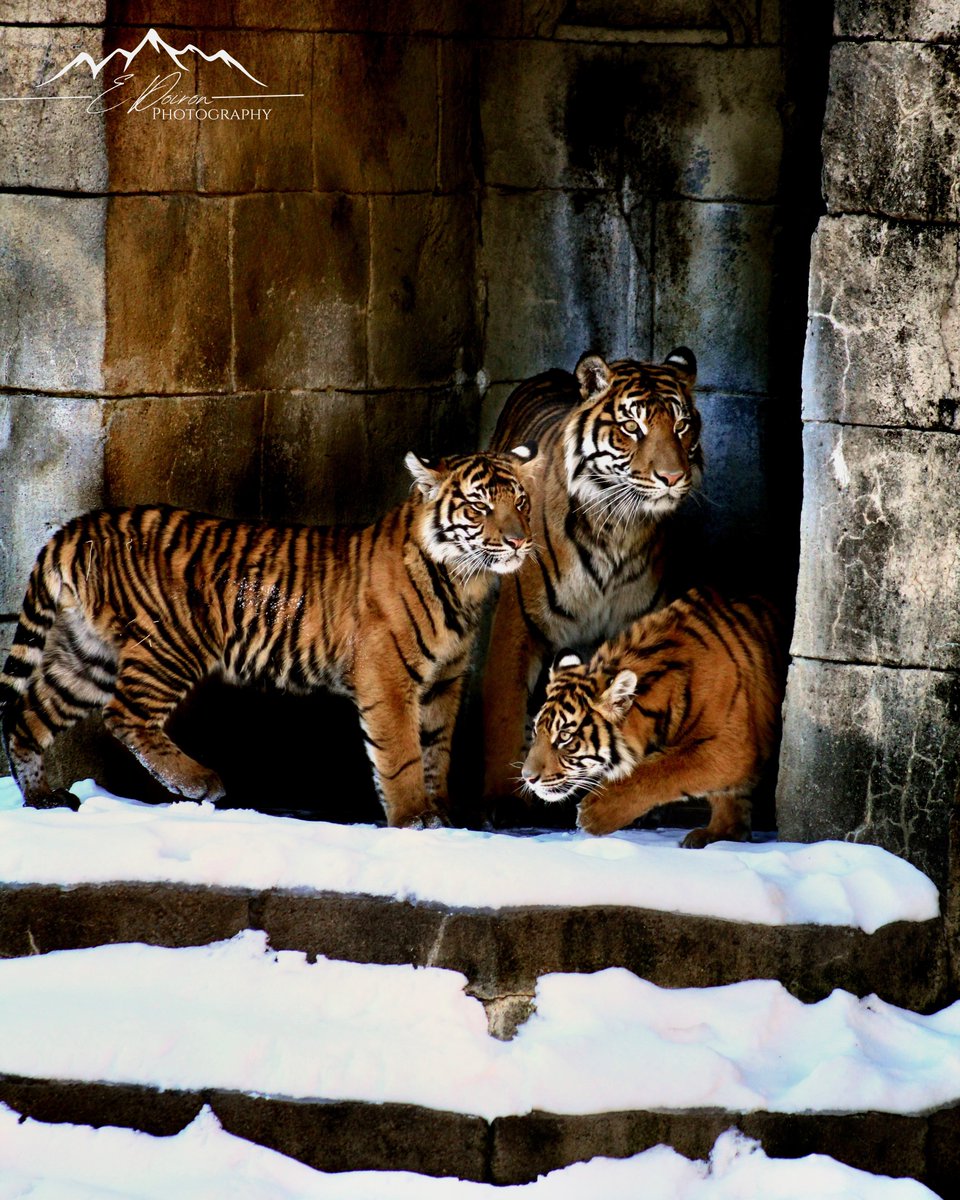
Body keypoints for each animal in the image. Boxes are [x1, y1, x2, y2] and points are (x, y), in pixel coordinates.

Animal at [0, 447, 537, 829]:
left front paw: (441, 813)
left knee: (30, 716)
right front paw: (415, 819)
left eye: (521, 502)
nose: (518, 541)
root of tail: (79, 525)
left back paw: (42, 799)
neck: (464, 582)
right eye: (479, 506)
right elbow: (401, 752)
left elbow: (436, 750)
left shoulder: (445, 681)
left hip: (87, 658)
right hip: (167, 646)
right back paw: (201, 783)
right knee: (124, 714)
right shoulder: (387, 677)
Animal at [483, 347, 702, 806]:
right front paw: (502, 804)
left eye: (681, 425)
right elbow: (504, 711)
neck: (618, 527)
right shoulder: (518, 624)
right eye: (632, 427)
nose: (673, 478)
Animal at [521, 588, 785, 847]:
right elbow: (724, 793)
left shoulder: (730, 746)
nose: (527, 777)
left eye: (565, 736)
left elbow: (662, 769)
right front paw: (724, 833)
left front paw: (592, 814)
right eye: (536, 731)